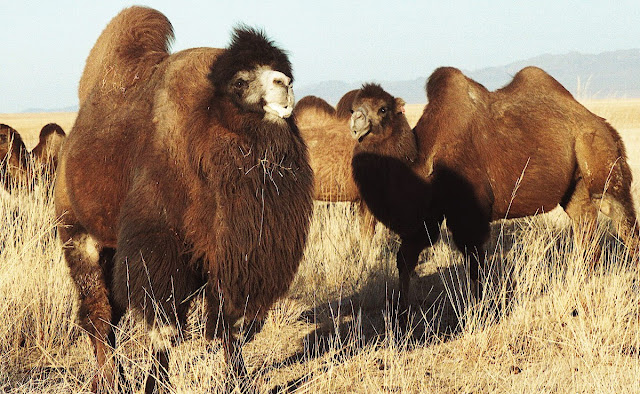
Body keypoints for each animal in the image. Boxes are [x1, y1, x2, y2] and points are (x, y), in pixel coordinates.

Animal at [55, 6, 316, 390]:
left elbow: (231, 323)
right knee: (98, 312)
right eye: (240, 82)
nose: (284, 84)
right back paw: (110, 380)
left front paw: (239, 381)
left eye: (283, 69)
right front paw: (155, 384)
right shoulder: (159, 244)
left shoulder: (227, 254)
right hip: (77, 233)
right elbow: (163, 326)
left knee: (109, 313)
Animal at [350, 71, 640, 316]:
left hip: (600, 158)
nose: (356, 121)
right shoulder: (427, 217)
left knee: (620, 216)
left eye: (383, 109)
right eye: (353, 108)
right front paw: (402, 312)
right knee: (586, 226)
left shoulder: (468, 214)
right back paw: (580, 282)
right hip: (574, 186)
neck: (422, 159)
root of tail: (601, 123)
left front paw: (479, 309)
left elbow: (475, 263)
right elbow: (405, 259)